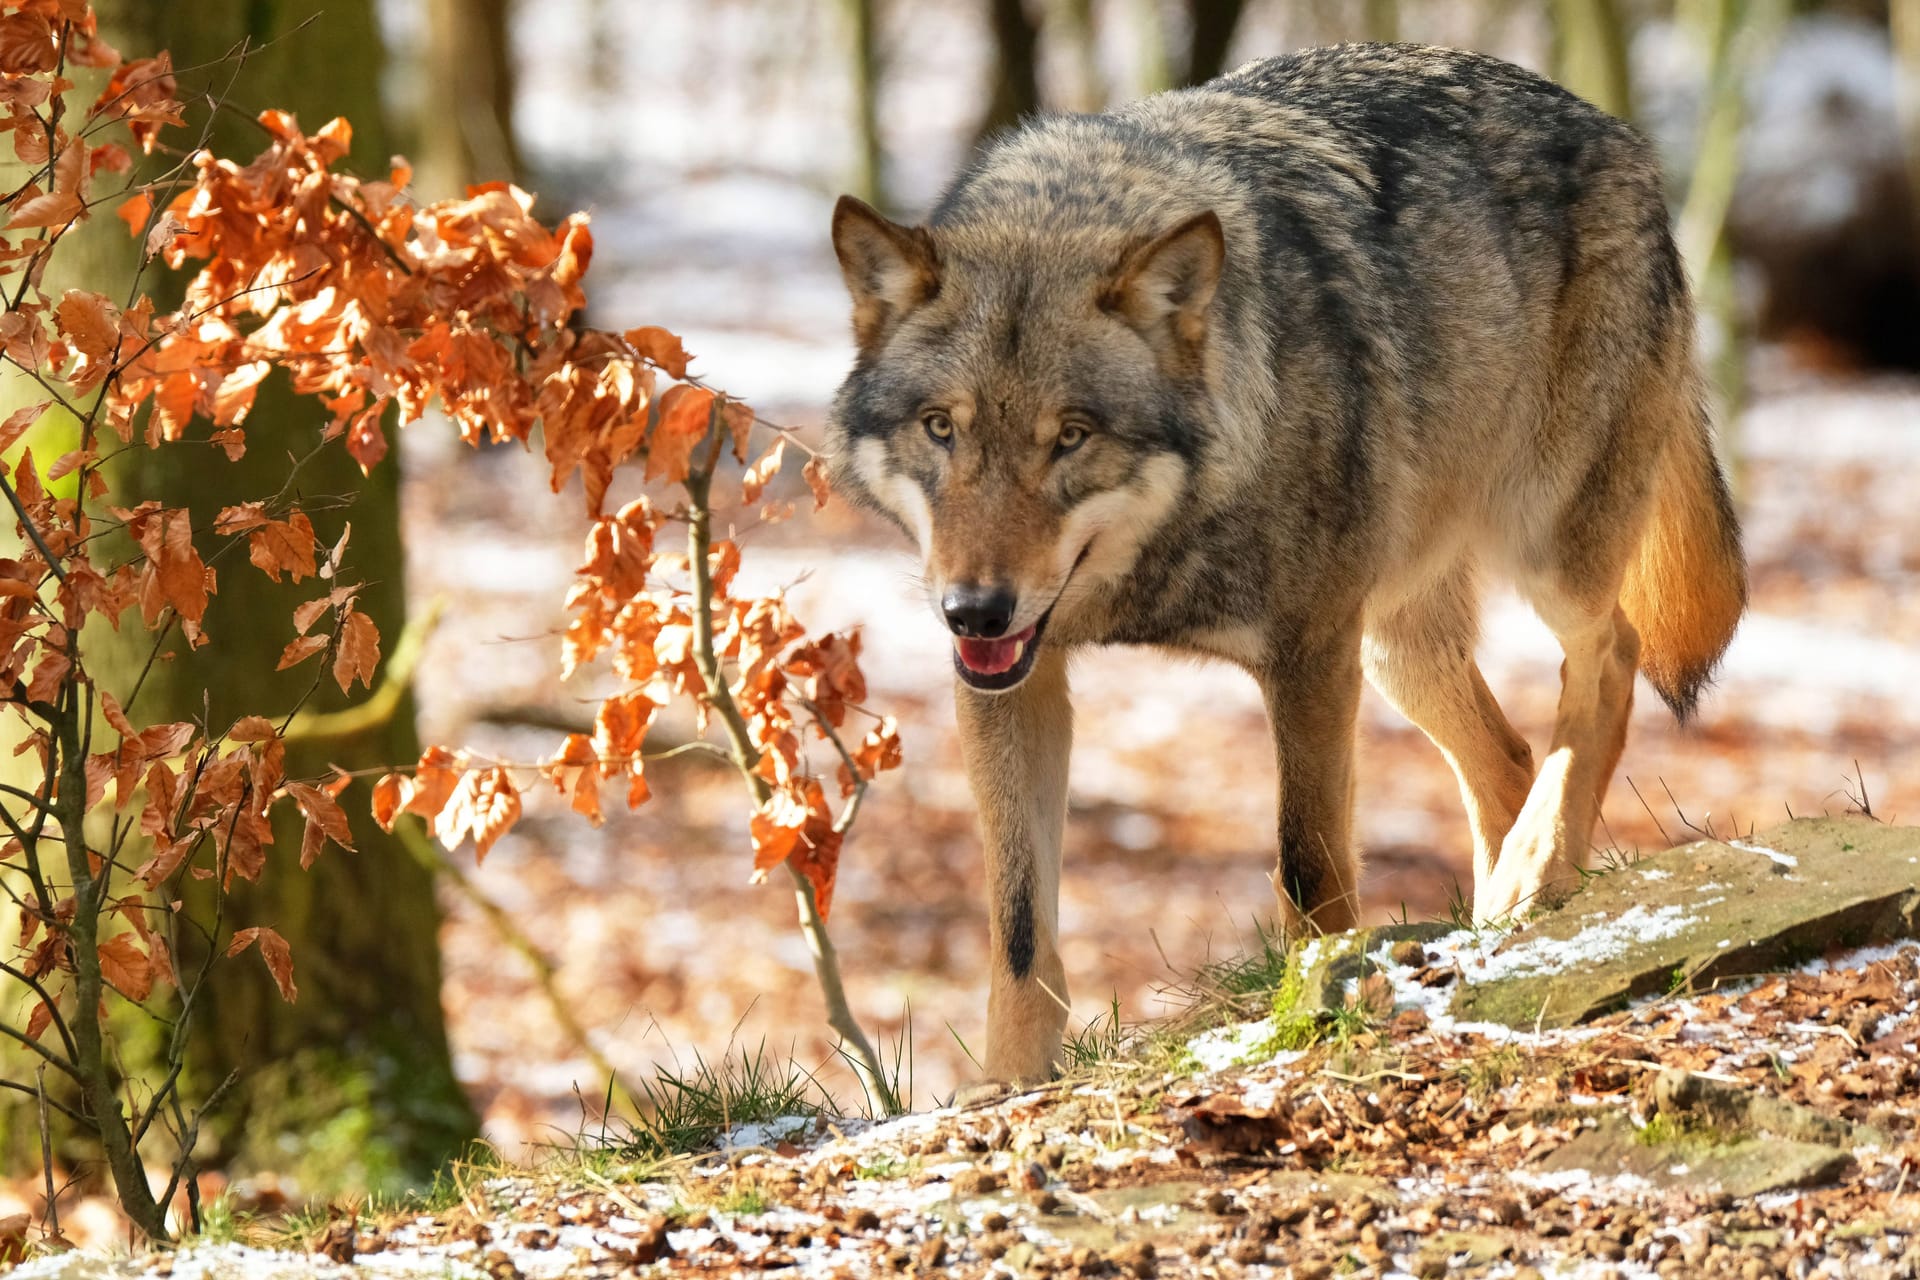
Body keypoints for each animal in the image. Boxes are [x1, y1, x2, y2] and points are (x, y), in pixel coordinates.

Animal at [817, 45, 1751, 1082]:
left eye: (1071, 437)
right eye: (942, 429)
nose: (974, 611)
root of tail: (1618, 131)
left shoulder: (1307, 656)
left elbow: (1310, 868)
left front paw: (1313, 1017)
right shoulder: (1015, 680)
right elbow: (1020, 929)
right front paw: (1008, 1089)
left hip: (1536, 554)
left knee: (1610, 656)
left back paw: (1538, 867)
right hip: (1394, 651)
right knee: (1508, 758)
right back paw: (1507, 913)